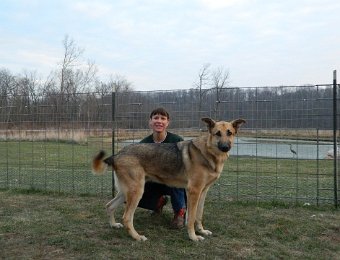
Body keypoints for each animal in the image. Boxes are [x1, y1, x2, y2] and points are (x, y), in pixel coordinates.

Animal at [91, 118, 246, 242]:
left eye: (229, 133)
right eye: (217, 133)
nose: (225, 147)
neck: (209, 153)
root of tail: (117, 155)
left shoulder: (203, 192)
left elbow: (199, 215)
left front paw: (201, 231)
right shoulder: (194, 191)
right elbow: (191, 218)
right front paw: (193, 237)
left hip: (126, 192)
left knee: (109, 206)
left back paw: (113, 225)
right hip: (136, 192)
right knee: (126, 218)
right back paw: (137, 237)